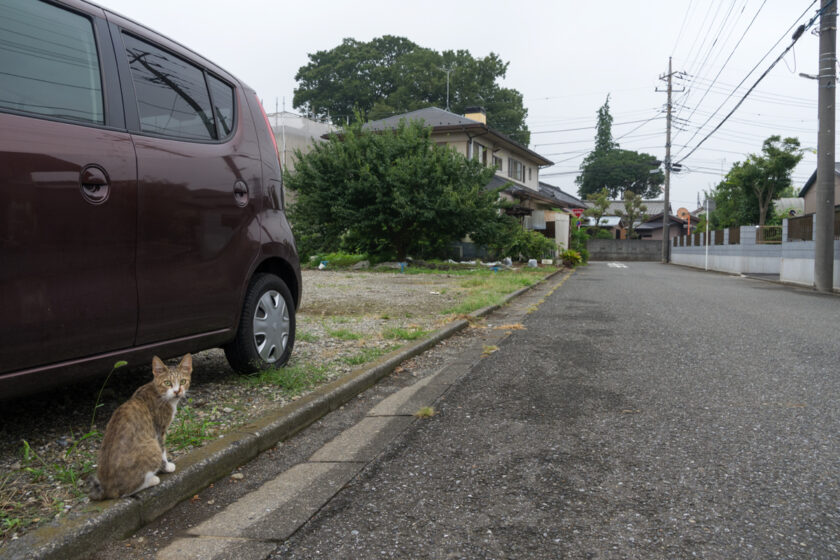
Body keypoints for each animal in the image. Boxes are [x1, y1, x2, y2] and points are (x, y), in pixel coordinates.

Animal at [88, 354, 194, 498]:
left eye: (183, 381)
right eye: (167, 383)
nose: (177, 391)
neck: (158, 393)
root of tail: (107, 490)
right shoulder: (159, 430)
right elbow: (163, 450)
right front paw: (166, 467)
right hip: (151, 446)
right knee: (124, 492)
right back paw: (152, 480)